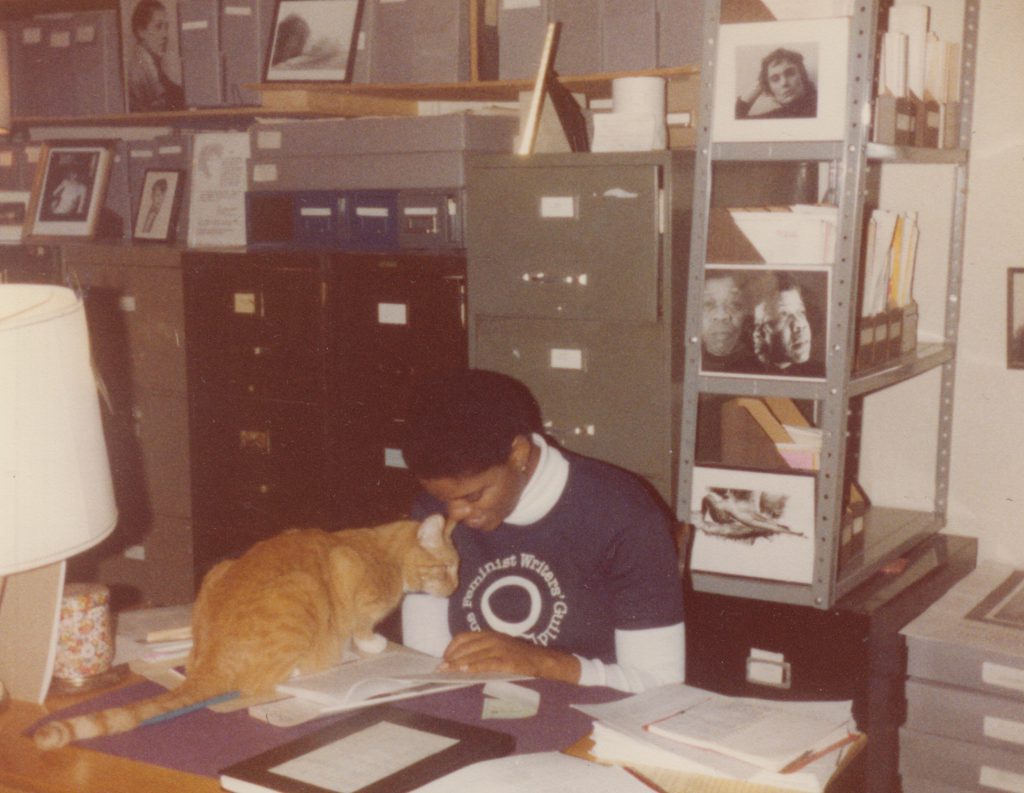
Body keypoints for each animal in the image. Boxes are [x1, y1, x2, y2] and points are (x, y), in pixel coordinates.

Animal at [33, 516, 456, 749]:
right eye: (448, 567)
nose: (454, 589)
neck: (384, 553)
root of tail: (211, 663)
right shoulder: (350, 579)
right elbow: (361, 627)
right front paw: (373, 643)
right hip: (301, 591)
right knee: (262, 681)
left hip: (217, 571)